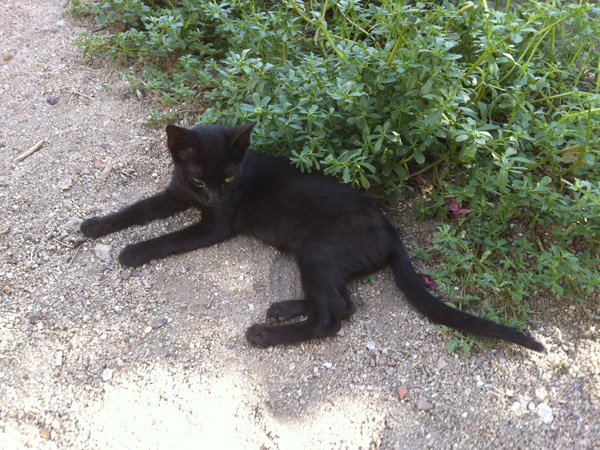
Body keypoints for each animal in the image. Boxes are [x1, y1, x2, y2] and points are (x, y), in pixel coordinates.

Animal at [80, 123, 545, 352]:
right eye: (198, 179)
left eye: (229, 179)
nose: (214, 195)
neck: (198, 196)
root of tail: (389, 226)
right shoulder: (174, 194)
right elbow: (136, 210)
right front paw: (95, 225)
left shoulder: (217, 224)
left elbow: (169, 239)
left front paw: (133, 251)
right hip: (316, 257)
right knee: (343, 301)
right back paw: (284, 308)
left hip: (318, 252)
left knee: (332, 317)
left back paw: (267, 335)